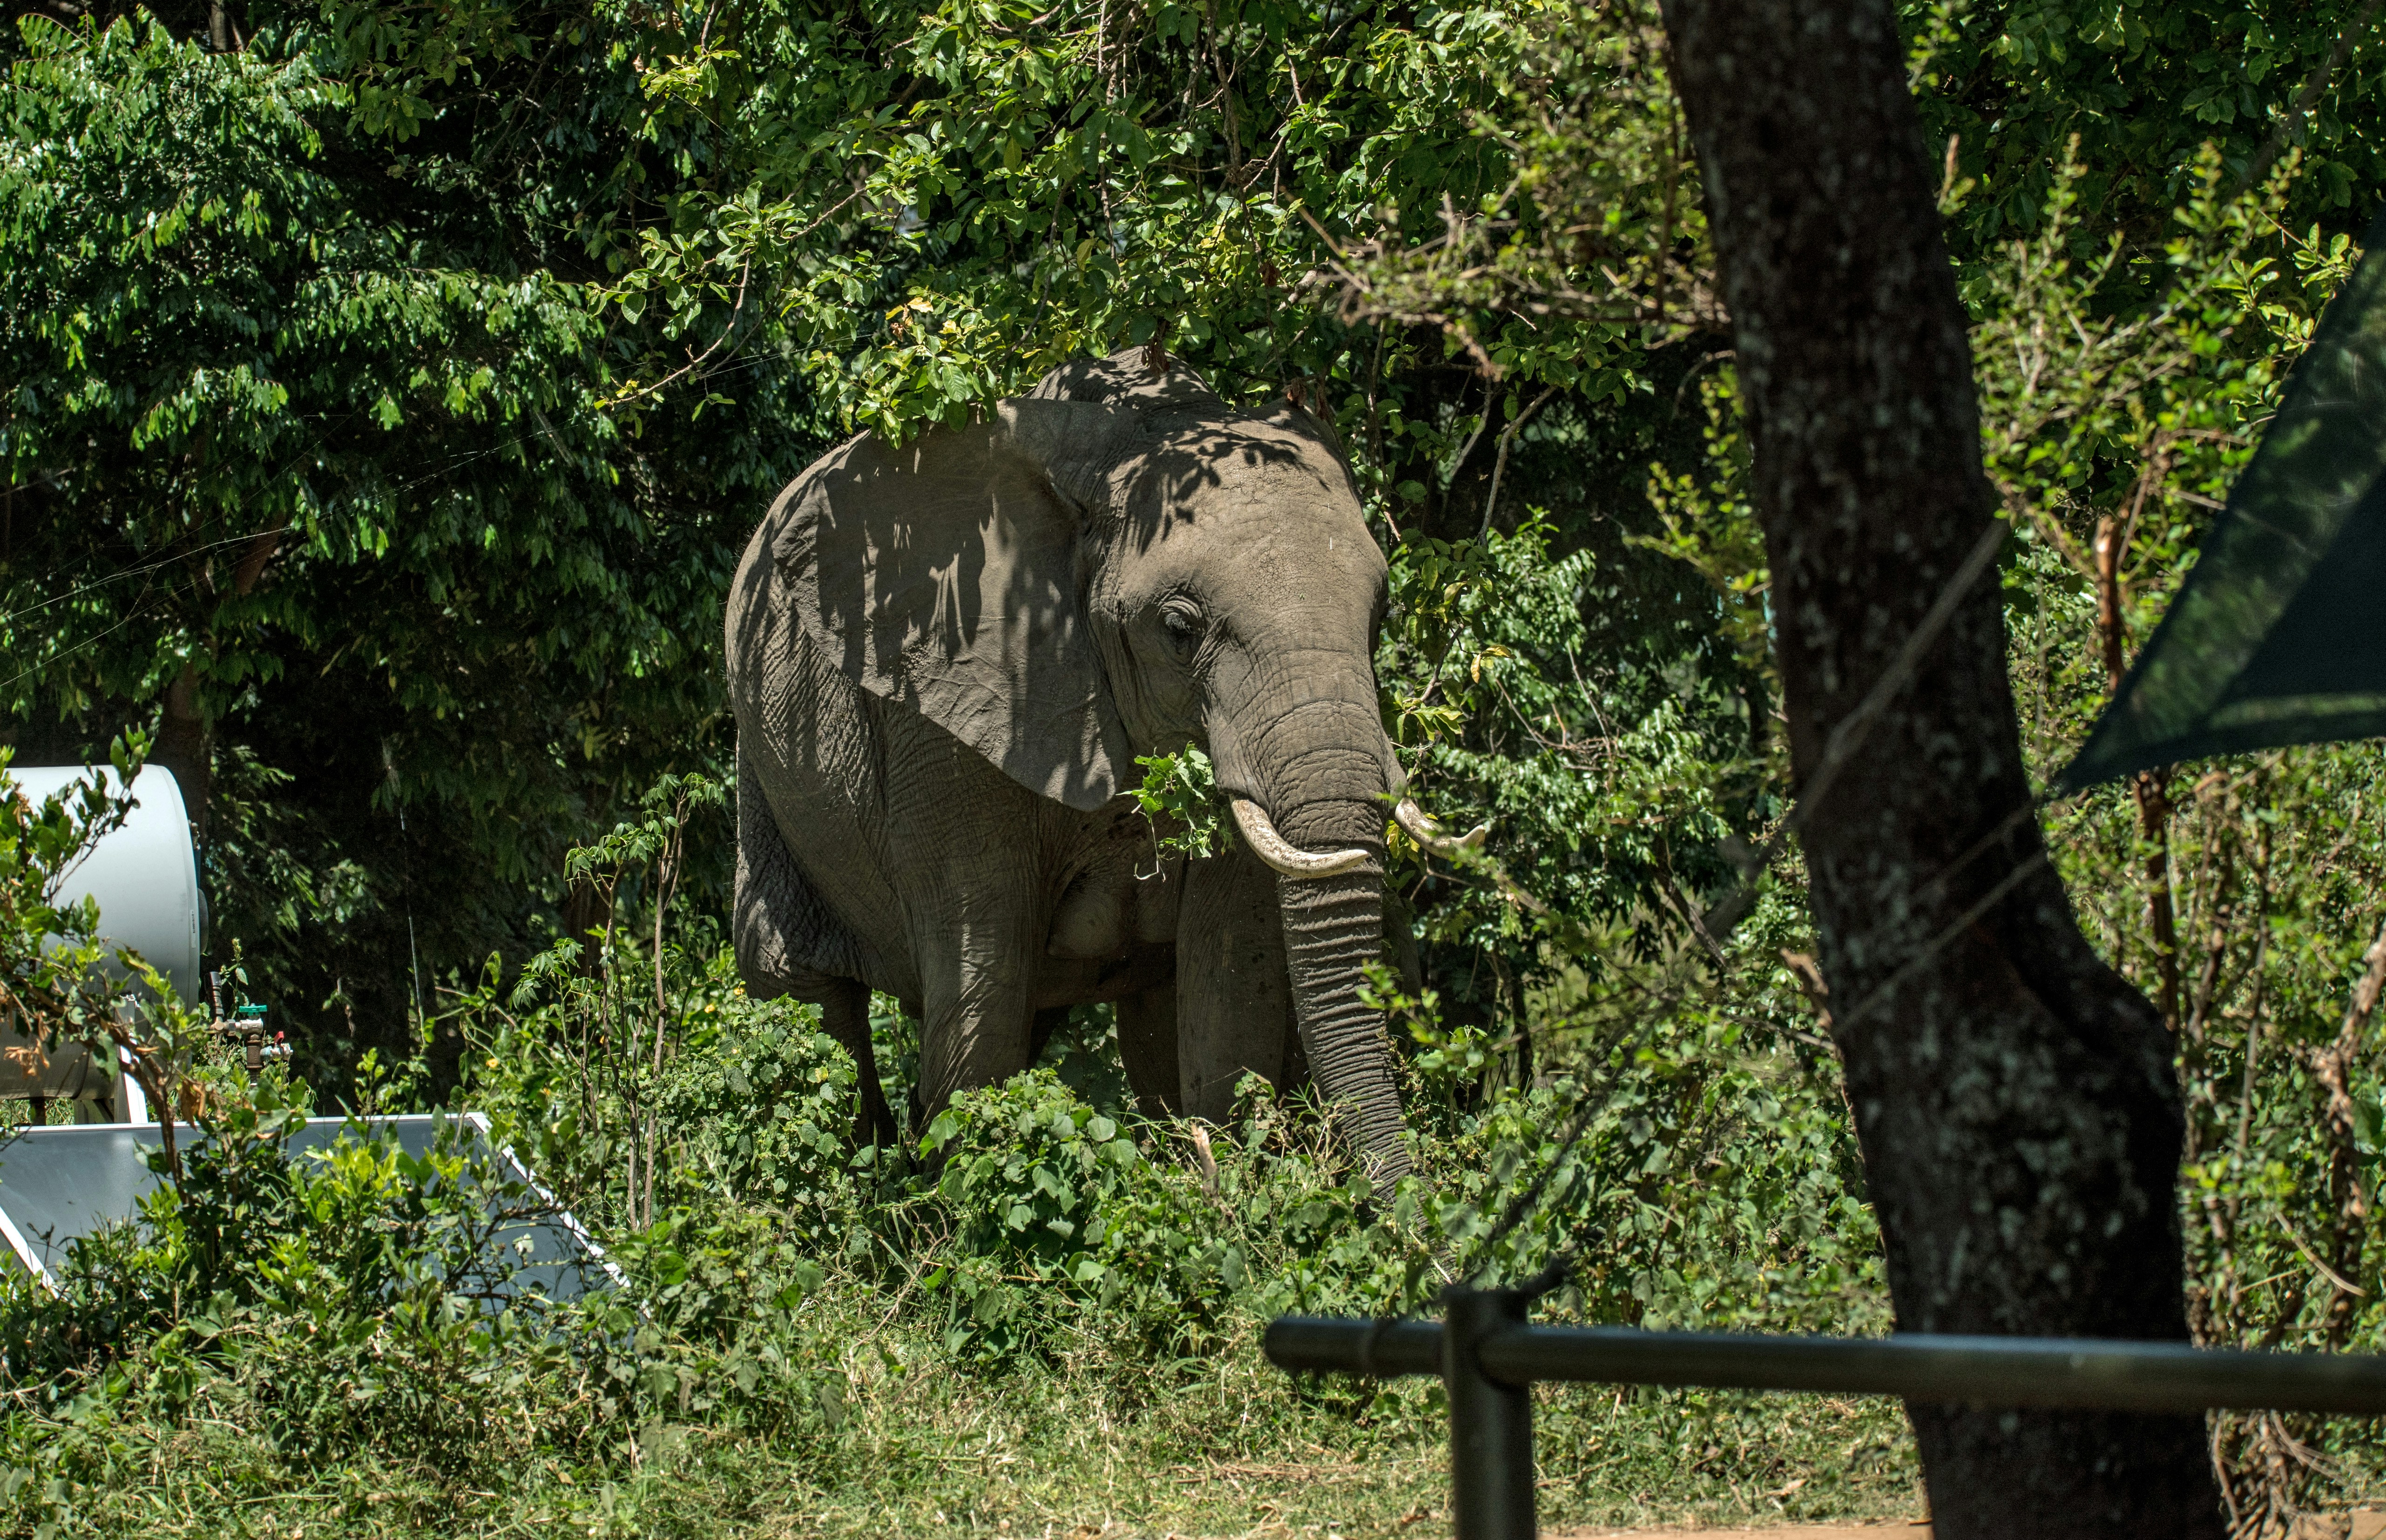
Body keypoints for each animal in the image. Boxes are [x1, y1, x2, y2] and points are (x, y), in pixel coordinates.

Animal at [725, 347, 1471, 1184]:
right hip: (762, 761)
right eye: (1178, 628)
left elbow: (1228, 972)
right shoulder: (943, 713)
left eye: (1381, 615)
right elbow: (984, 979)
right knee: (806, 992)